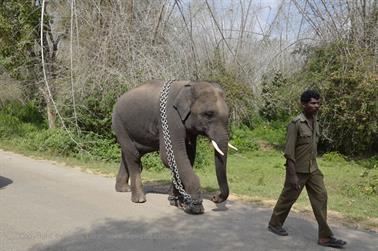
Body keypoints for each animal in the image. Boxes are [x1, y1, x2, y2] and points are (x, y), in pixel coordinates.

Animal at [110, 80, 233, 214]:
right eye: (209, 114)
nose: (214, 197)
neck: (190, 86)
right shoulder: (170, 117)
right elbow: (171, 156)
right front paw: (195, 207)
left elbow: (188, 157)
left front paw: (176, 201)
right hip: (119, 124)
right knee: (133, 155)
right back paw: (139, 199)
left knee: (128, 154)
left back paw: (123, 189)